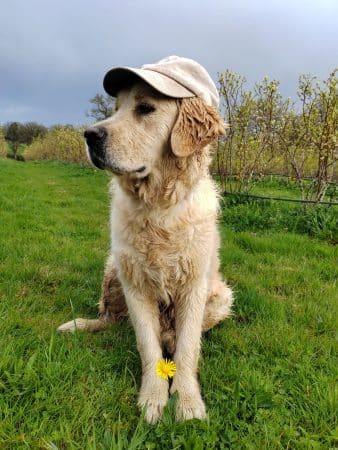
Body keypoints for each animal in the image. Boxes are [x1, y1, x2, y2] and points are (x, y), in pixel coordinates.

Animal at [58, 59, 232, 422]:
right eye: (115, 109)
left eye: (145, 108)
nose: (90, 135)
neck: (158, 207)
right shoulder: (135, 283)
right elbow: (146, 346)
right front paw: (153, 399)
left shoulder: (194, 285)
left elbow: (188, 348)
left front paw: (187, 401)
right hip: (113, 270)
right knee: (111, 320)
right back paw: (78, 325)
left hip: (222, 295)